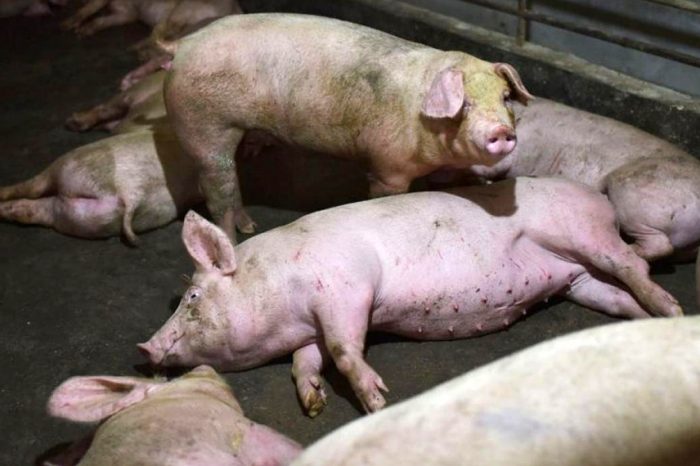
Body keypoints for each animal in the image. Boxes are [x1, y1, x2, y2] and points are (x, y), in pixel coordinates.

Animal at [138, 177, 681, 417]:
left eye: (192, 296)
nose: (145, 348)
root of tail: (600, 198)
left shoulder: (347, 288)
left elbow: (344, 349)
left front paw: (377, 401)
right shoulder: (313, 324)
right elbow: (304, 359)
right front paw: (313, 403)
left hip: (582, 233)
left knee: (633, 263)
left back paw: (672, 309)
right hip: (579, 281)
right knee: (619, 292)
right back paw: (648, 322)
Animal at [162, 13, 534, 240]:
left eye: (505, 98)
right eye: (464, 104)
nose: (501, 132)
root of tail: (181, 45)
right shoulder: (387, 166)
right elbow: (385, 194)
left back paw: (249, 226)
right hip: (205, 126)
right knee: (217, 191)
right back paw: (235, 237)